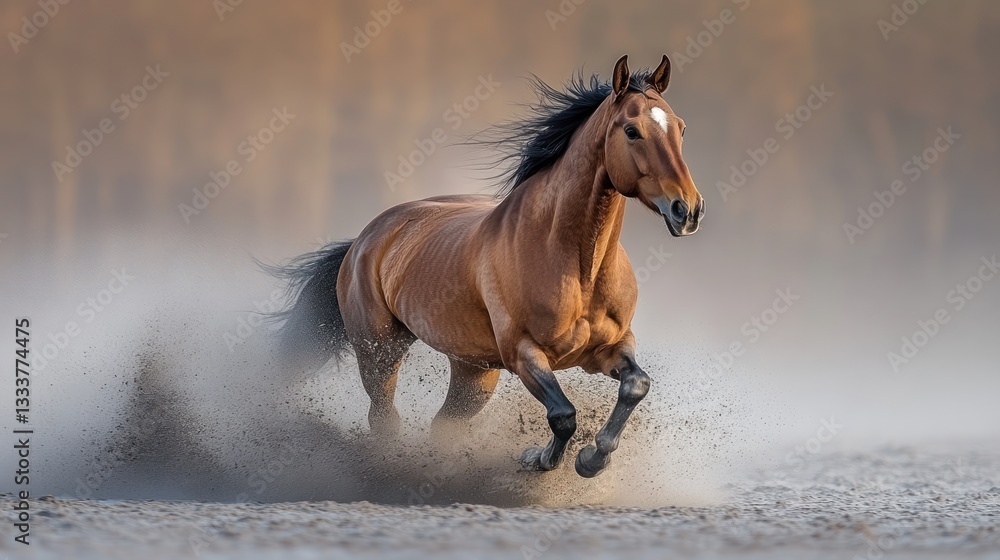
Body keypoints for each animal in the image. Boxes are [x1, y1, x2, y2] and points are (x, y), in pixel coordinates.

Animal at [271, 54, 704, 478]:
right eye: (632, 131)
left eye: (681, 129)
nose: (687, 210)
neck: (580, 268)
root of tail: (365, 239)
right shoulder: (523, 354)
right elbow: (563, 415)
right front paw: (538, 458)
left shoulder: (610, 348)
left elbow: (636, 385)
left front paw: (593, 459)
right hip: (380, 352)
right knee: (384, 418)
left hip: (473, 372)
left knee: (442, 426)